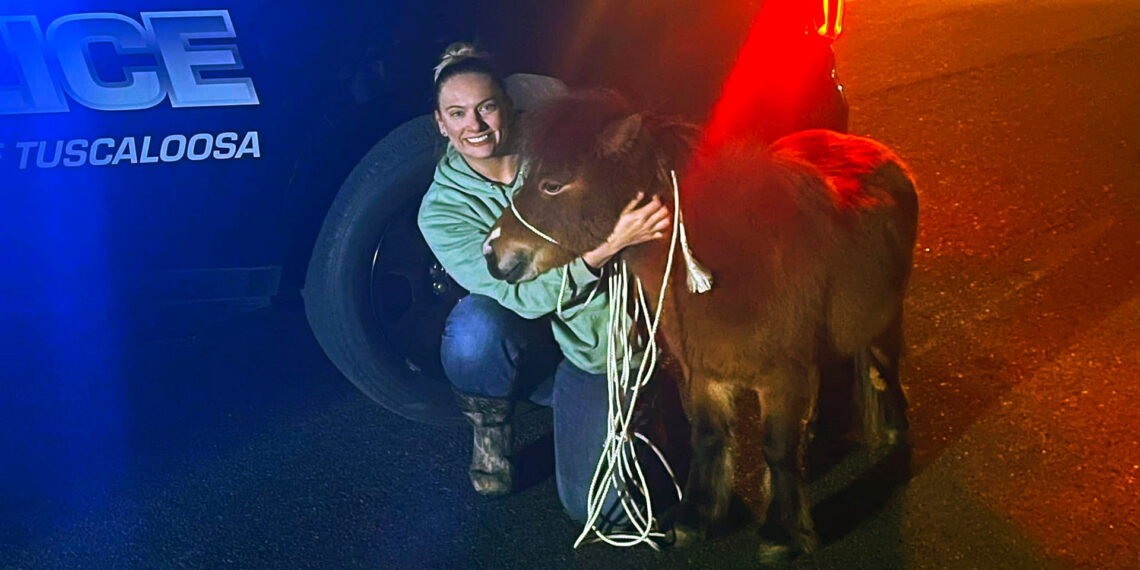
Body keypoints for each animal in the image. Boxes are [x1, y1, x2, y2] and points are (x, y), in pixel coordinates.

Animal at [483, 90, 917, 562]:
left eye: (553, 184)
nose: (492, 253)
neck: (734, 259)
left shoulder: (781, 376)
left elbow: (776, 449)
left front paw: (783, 533)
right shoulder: (706, 374)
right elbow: (708, 438)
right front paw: (697, 518)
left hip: (885, 320)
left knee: (884, 367)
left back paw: (894, 429)